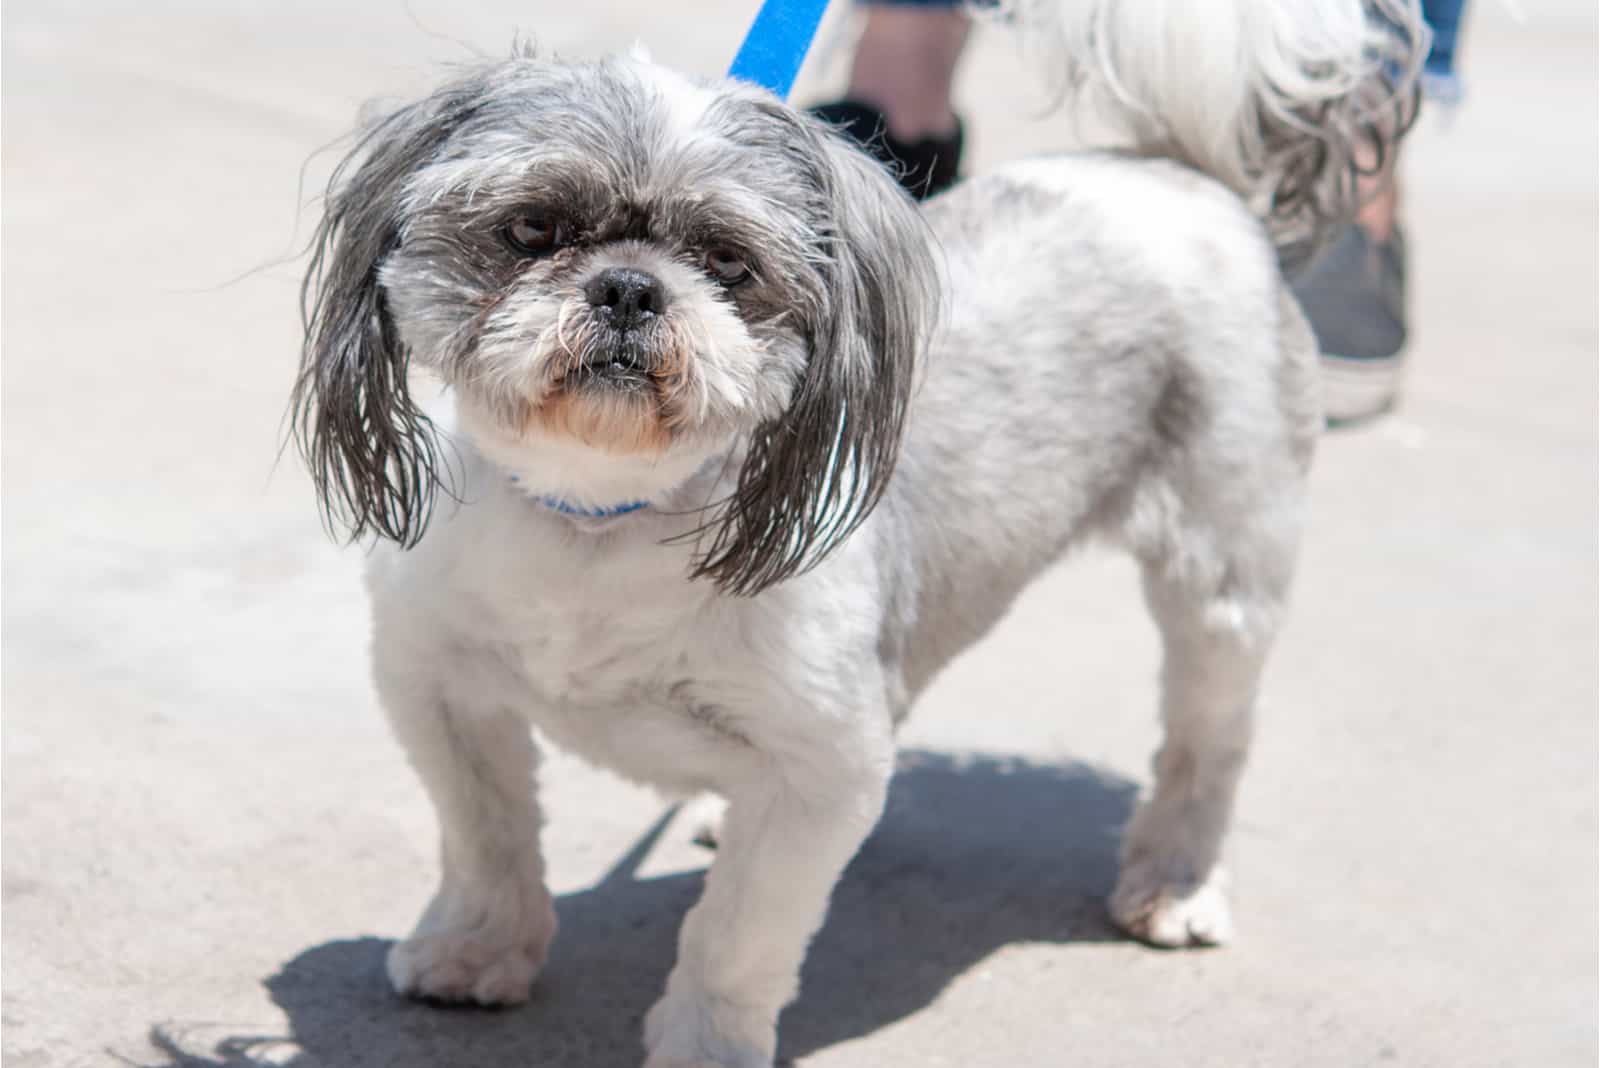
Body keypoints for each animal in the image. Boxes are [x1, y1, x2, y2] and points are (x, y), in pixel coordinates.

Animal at [294, 4, 1420, 1061]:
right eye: (531, 229)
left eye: (727, 260)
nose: (627, 287)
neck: (603, 519)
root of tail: (1175, 173)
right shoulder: (437, 688)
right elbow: (486, 837)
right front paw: (476, 949)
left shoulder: (819, 771)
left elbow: (736, 937)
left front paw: (707, 1046)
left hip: (1220, 579)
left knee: (1208, 740)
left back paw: (1177, 883)